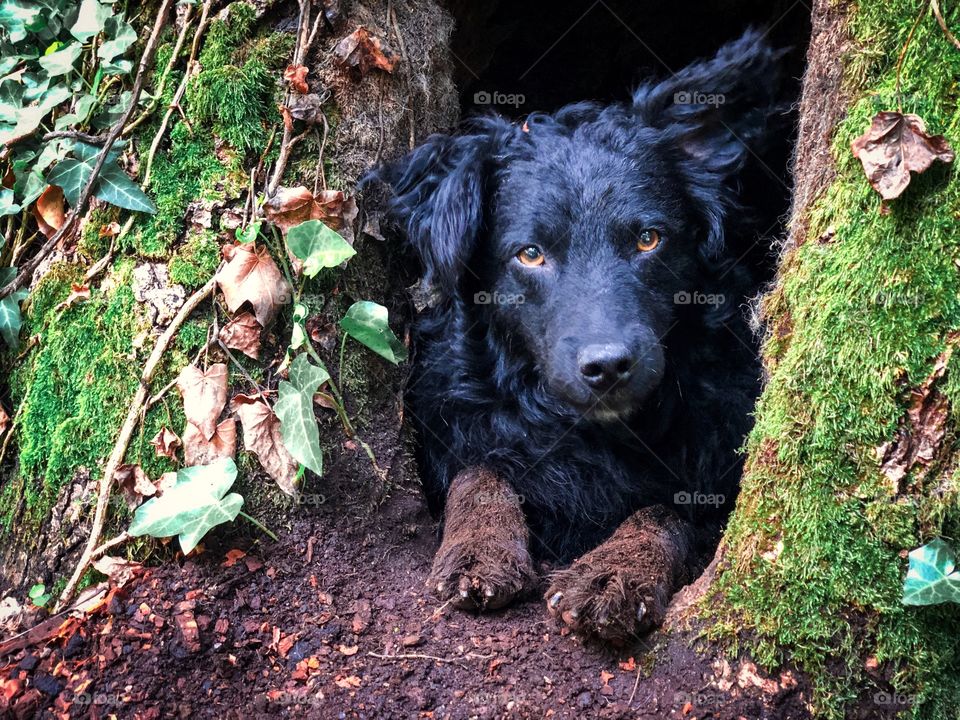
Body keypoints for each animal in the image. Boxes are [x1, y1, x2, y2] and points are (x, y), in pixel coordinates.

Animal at [370, 31, 788, 644]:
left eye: (648, 239)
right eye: (530, 254)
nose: (607, 366)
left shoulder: (716, 481)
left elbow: (666, 512)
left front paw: (615, 571)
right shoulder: (454, 421)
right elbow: (479, 471)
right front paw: (480, 545)